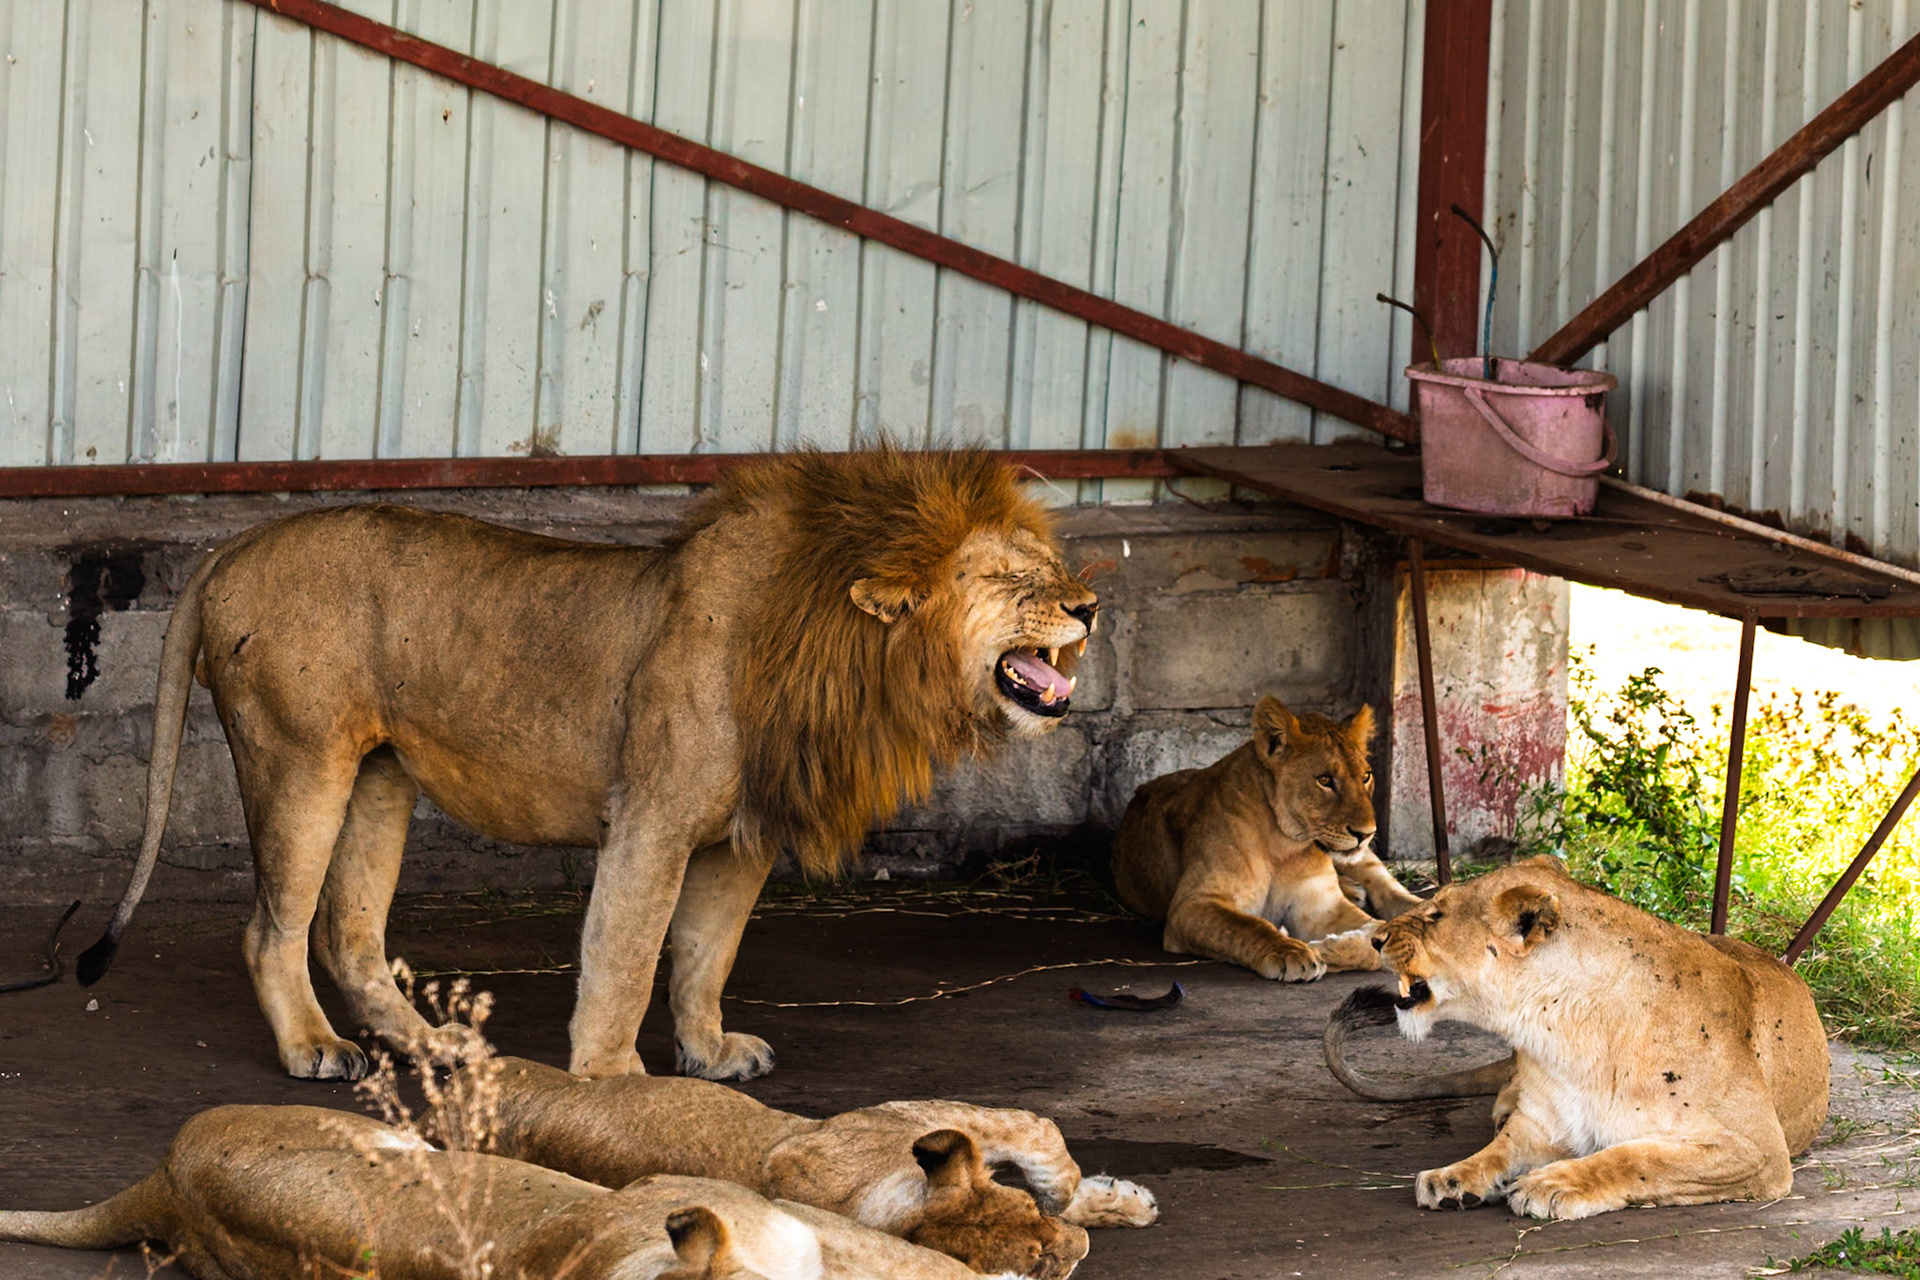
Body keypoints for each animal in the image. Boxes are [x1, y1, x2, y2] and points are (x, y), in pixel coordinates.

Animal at [70, 448, 1096, 1082]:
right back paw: (314, 1050)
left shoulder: (740, 840)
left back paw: (434, 1047)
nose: (1088, 606)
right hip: (298, 758)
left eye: (1053, 566)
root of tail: (231, 545)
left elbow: (705, 955)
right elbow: (629, 953)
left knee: (346, 934)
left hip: (378, 776)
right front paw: (611, 1075)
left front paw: (708, 1051)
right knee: (271, 929)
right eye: (1012, 579)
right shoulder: (650, 817)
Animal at [428, 1057, 1155, 1277]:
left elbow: (1043, 1148)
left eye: (1028, 1215)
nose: (1082, 1251)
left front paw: (1115, 1201)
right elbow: (1041, 1129)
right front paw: (1104, 1202)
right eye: (1039, 1265)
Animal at [1109, 696, 1418, 981]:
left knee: (1390, 887)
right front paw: (1293, 951)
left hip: (1364, 861)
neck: (1284, 843)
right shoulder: (1191, 905)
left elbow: (1373, 938)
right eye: (1325, 780)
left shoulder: (1320, 905)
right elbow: (1246, 927)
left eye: (1366, 776)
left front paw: (1327, 948)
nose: (1366, 833)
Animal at [1323, 856, 1829, 1220]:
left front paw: (1552, 1184)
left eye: (1436, 914)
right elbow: (1498, 1151)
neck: (1567, 1030)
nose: (1375, 938)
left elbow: (1635, 1158)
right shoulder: (1542, 1122)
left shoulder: (1758, 1149)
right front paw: (1451, 1178)